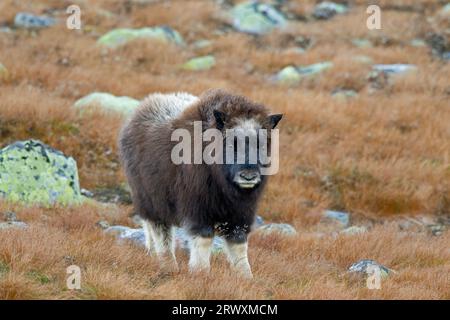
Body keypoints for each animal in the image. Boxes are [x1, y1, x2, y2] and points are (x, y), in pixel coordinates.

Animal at [118, 88, 284, 278]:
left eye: (261, 144)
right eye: (232, 143)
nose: (248, 176)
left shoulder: (240, 213)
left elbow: (239, 244)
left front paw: (246, 277)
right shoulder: (198, 208)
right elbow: (203, 239)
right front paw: (200, 273)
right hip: (151, 198)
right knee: (159, 229)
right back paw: (168, 265)